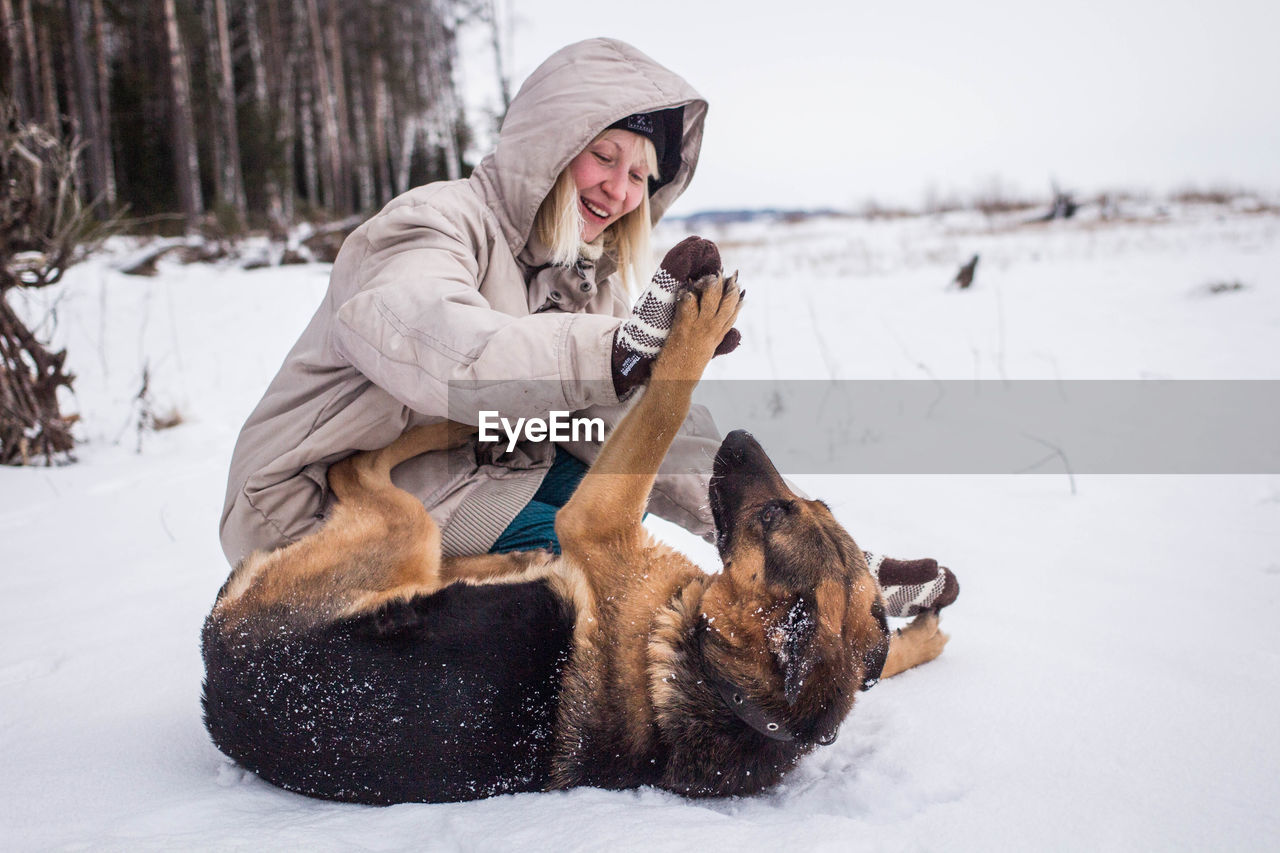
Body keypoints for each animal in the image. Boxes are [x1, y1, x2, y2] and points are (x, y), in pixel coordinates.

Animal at [202, 274, 952, 804]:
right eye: (807, 504)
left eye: (774, 516)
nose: (740, 439)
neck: (718, 675)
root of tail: (217, 674)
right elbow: (880, 660)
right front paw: (921, 637)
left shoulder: (595, 518)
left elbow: (664, 403)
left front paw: (687, 333)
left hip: (404, 531)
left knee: (353, 465)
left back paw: (454, 431)